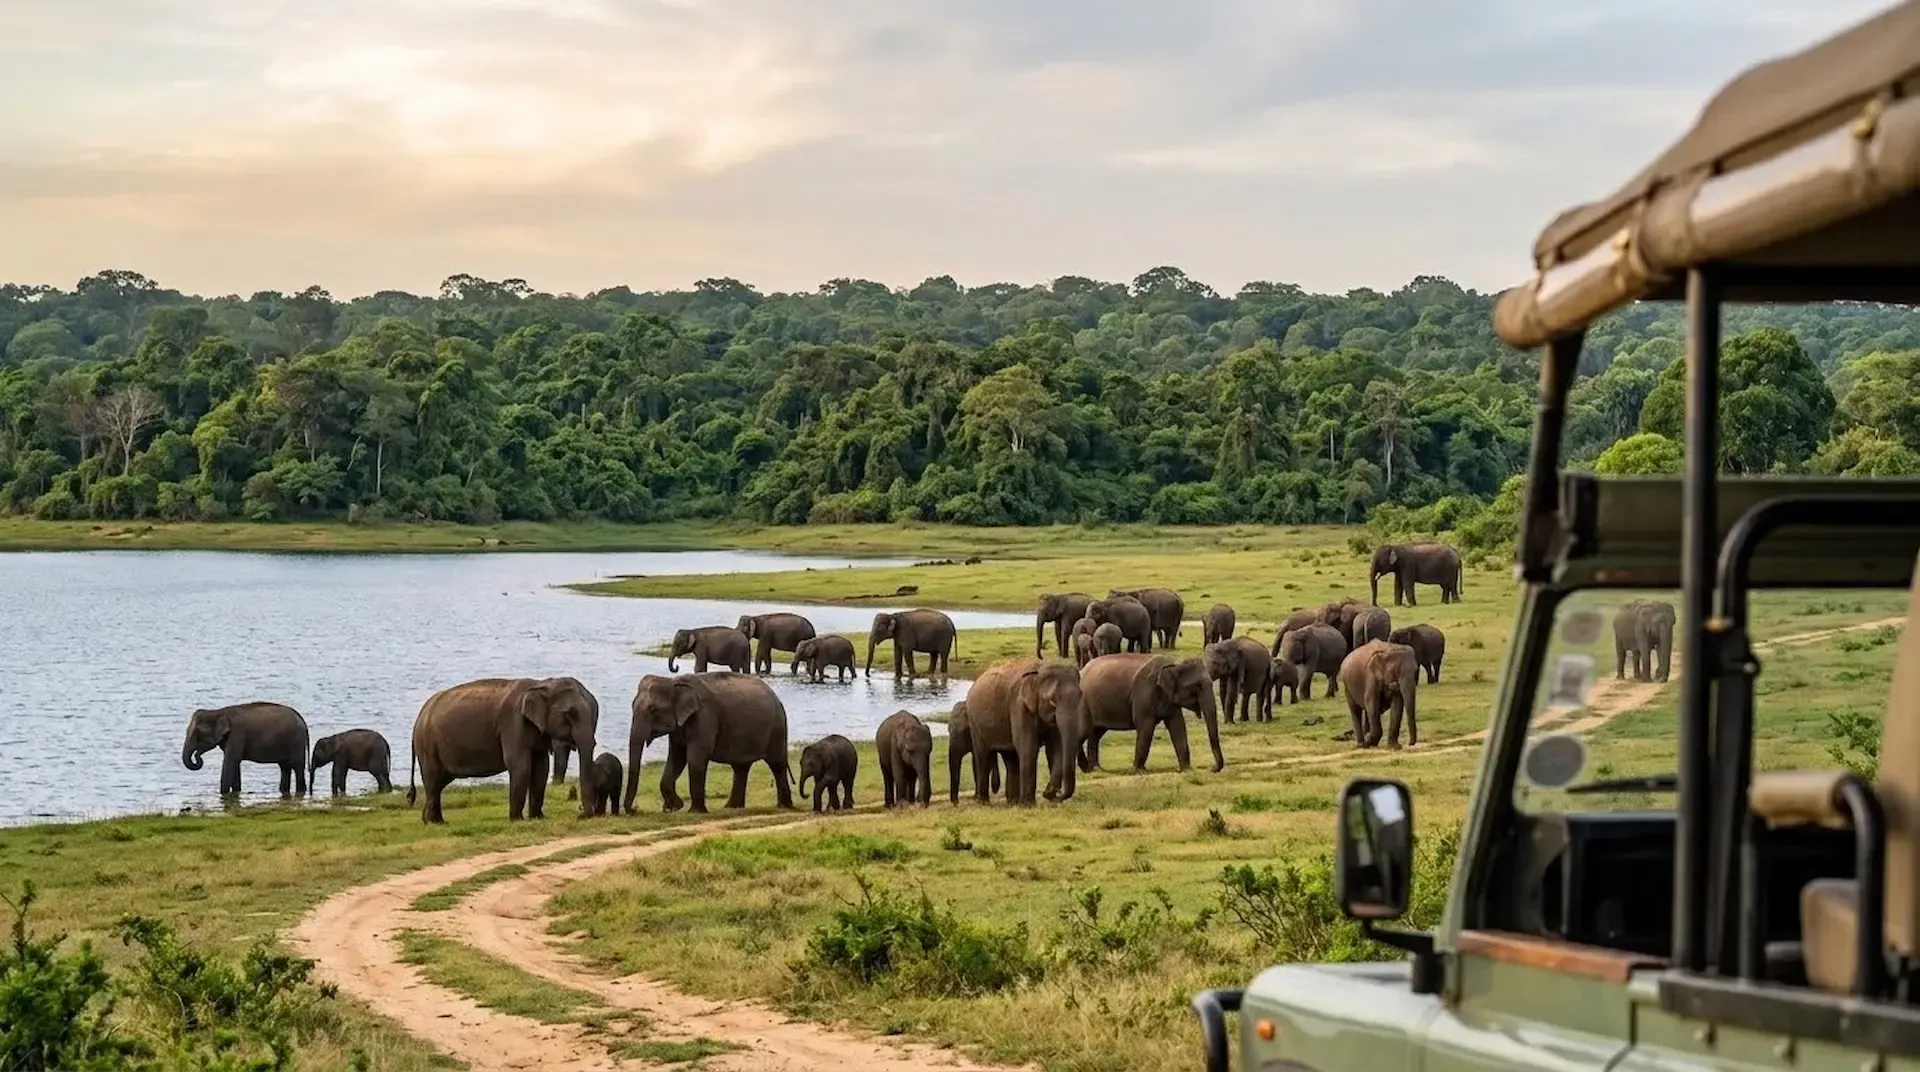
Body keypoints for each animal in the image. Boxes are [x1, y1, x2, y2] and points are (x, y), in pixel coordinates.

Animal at [182, 702, 311, 798]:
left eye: (197, 733)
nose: (198, 754)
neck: (219, 711)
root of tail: (303, 721)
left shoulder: (237, 734)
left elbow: (230, 761)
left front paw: (223, 793)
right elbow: (235, 764)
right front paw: (236, 792)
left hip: (297, 743)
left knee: (298, 767)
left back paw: (300, 790)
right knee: (285, 768)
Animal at [408, 677, 600, 824]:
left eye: (594, 712)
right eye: (570, 714)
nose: (582, 814)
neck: (542, 683)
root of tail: (419, 717)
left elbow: (541, 768)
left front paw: (538, 818)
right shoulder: (513, 724)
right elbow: (520, 766)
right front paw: (517, 820)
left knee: (439, 783)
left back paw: (430, 821)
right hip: (427, 745)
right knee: (433, 781)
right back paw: (436, 822)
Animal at [627, 671, 794, 813]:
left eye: (653, 710)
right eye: (632, 706)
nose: (633, 810)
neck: (674, 681)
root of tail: (776, 697)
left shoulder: (704, 716)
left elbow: (695, 760)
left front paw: (694, 812)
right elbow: (676, 758)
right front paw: (673, 808)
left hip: (777, 727)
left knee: (777, 764)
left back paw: (784, 806)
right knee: (741, 768)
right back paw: (732, 807)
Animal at [962, 659, 1089, 804]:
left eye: (1081, 696)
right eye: (1052, 701)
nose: (1053, 795)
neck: (1039, 670)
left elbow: (1056, 748)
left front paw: (1047, 795)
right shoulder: (1019, 706)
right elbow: (1028, 747)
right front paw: (1029, 804)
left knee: (1010, 757)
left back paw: (1013, 802)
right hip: (974, 722)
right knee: (982, 755)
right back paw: (984, 802)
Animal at [1079, 653, 1224, 773]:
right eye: (1197, 686)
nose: (1211, 768)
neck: (1174, 662)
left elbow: (1178, 726)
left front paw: (1187, 770)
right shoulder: (1145, 692)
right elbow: (1146, 727)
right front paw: (1140, 771)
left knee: (1096, 734)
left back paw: (1095, 769)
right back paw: (1089, 768)